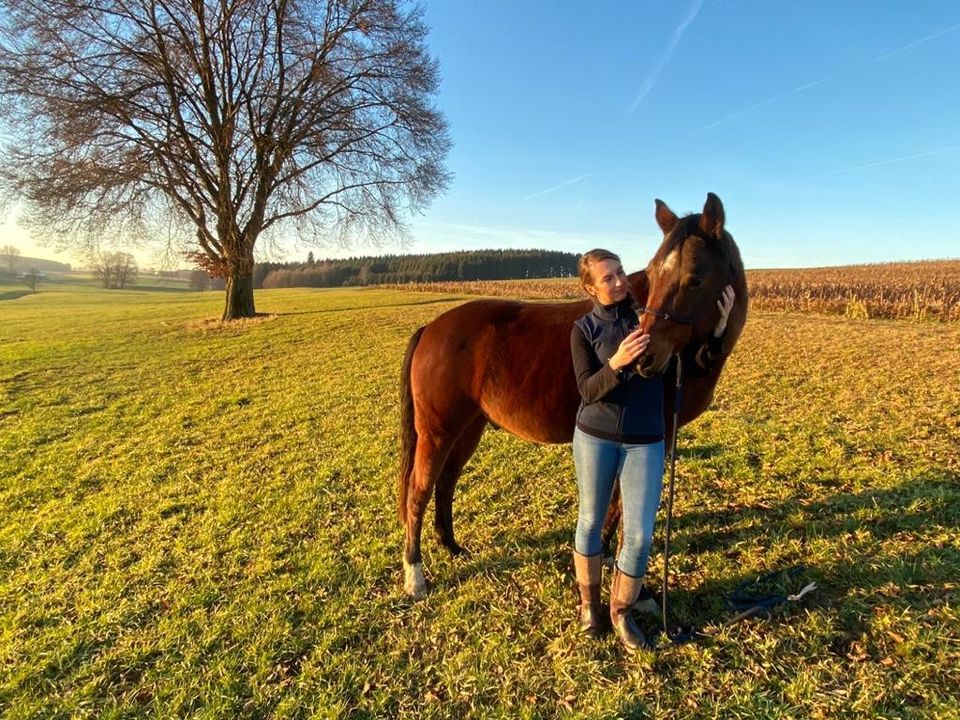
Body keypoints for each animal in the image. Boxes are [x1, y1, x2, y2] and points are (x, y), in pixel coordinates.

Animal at [398, 191, 752, 596]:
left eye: (695, 279)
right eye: (654, 273)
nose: (645, 356)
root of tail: (431, 329)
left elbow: (614, 501)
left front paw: (607, 556)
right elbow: (620, 504)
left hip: (468, 429)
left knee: (446, 482)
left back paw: (452, 547)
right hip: (438, 432)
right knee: (419, 492)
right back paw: (415, 576)